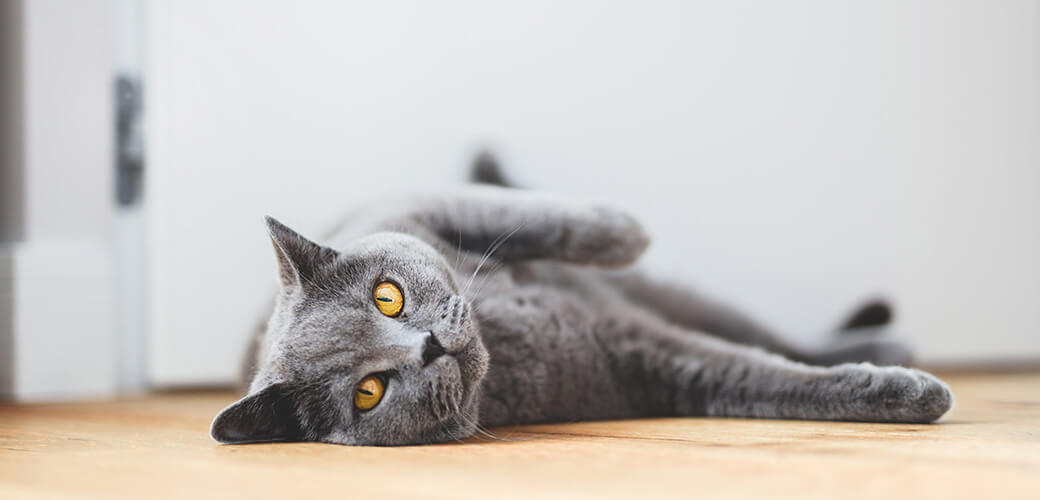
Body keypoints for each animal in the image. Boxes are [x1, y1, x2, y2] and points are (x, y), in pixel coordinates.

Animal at [209, 154, 952, 444]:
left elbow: (533, 212)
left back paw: (885, 333)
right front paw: (911, 395)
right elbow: (763, 379)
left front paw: (625, 231)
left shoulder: (416, 206)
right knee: (768, 346)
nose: (430, 344)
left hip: (680, 295)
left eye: (386, 297)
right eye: (370, 391)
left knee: (776, 334)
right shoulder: (646, 362)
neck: (503, 339)